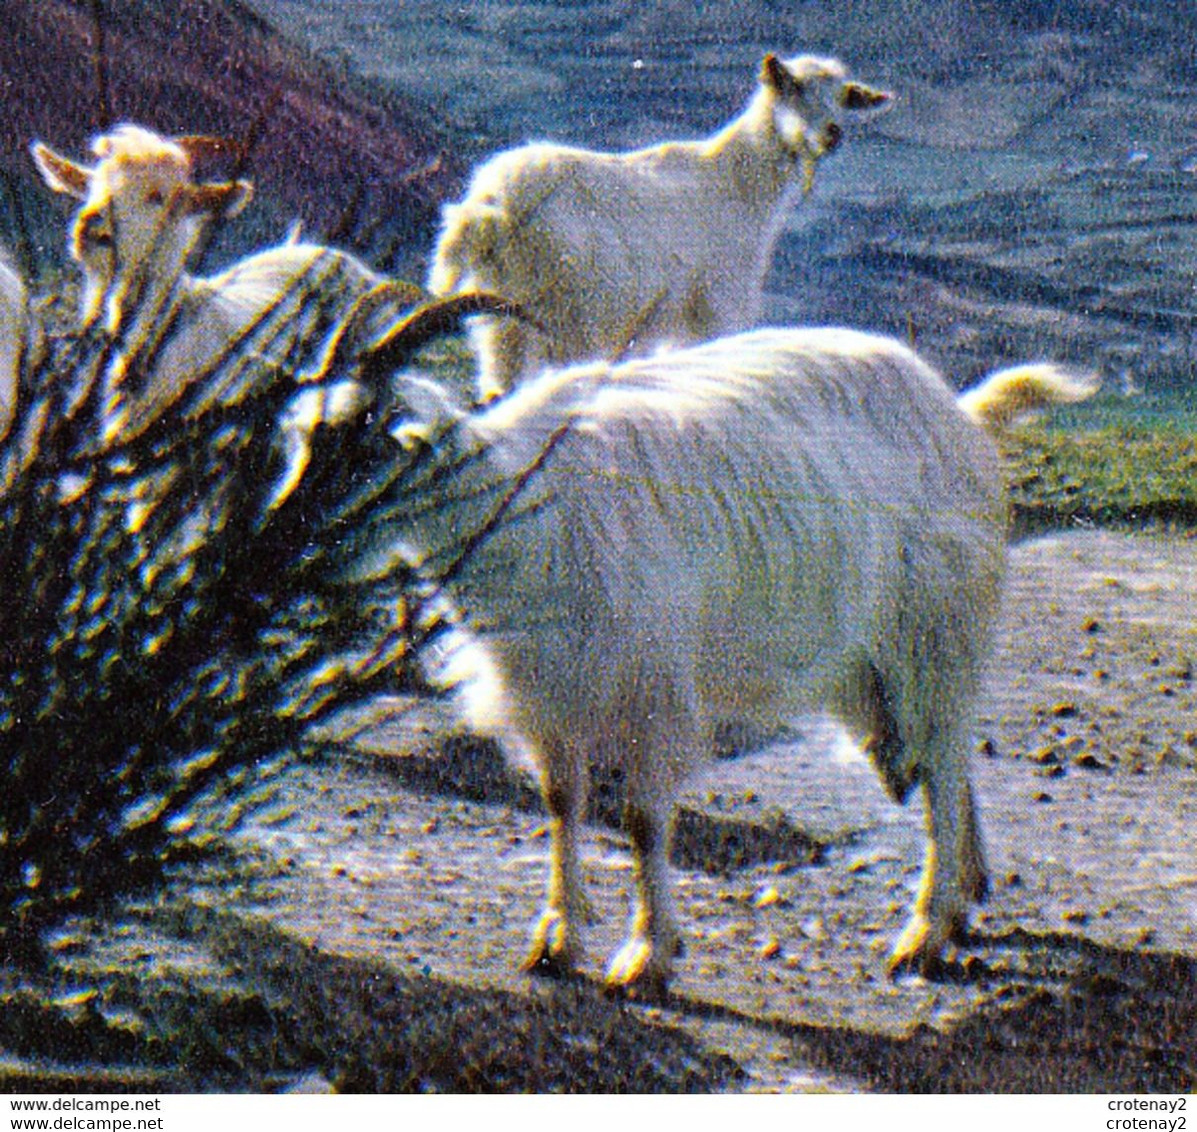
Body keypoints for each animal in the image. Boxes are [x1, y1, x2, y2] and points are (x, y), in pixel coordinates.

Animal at [430, 57, 890, 404]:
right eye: (791, 88)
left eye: (844, 98)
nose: (832, 135)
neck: (737, 181)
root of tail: (492, 201)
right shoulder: (718, 305)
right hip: (566, 310)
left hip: (499, 312)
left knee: (497, 383)